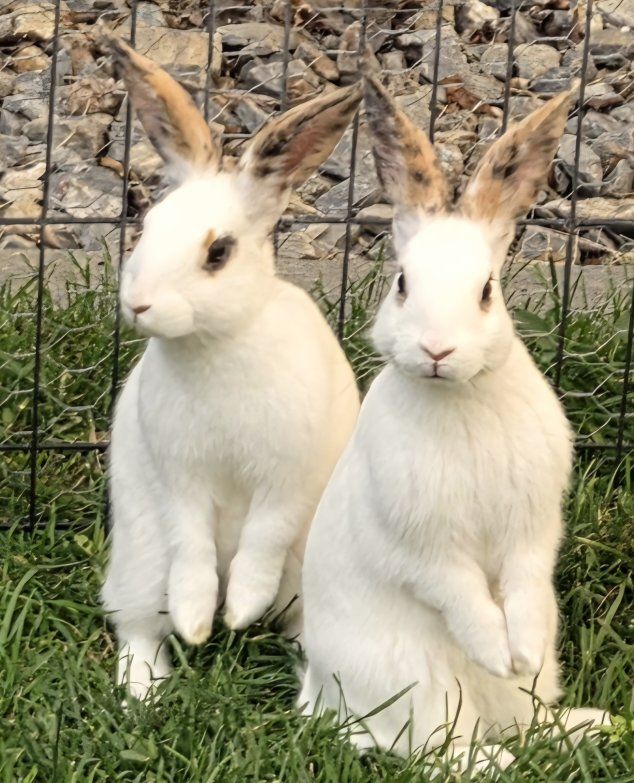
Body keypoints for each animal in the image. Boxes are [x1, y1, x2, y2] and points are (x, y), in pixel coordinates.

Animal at [100, 36, 361, 701]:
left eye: (218, 252)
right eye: (147, 226)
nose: (138, 304)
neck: (216, 345)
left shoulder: (289, 478)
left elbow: (263, 537)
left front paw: (239, 610)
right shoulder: (180, 478)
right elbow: (192, 545)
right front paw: (199, 619)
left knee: (306, 626)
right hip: (140, 559)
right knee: (137, 626)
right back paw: (144, 694)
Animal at [298, 77, 610, 773]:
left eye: (487, 290)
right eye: (401, 284)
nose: (437, 350)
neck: (460, 399)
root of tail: (324, 695)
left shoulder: (533, 529)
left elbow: (524, 584)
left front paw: (518, 650)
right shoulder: (425, 547)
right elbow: (463, 595)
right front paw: (495, 651)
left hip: (525, 686)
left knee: (523, 718)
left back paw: (593, 726)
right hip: (419, 683)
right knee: (431, 749)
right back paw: (500, 762)